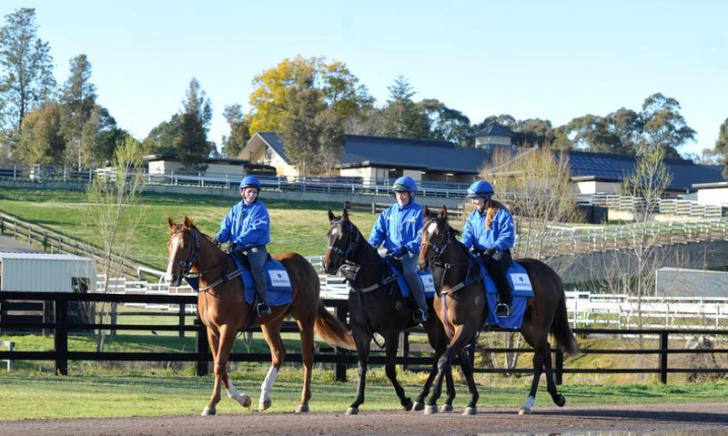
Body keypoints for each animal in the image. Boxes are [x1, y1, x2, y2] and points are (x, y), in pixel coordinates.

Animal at [166, 217, 358, 416]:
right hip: (271, 323)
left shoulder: (229, 328)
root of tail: (307, 266)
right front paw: (243, 399)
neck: (219, 279)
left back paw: (303, 402)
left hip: (305, 318)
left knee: (307, 356)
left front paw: (212, 404)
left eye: (185, 245)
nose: (171, 278)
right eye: (169, 245)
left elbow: (219, 364)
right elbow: (221, 364)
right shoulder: (212, 330)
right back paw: (264, 398)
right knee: (279, 353)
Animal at [324, 211, 456, 416]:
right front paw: (356, 402)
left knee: (438, 359)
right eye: (328, 234)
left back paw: (423, 398)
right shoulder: (361, 332)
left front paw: (405, 400)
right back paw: (447, 399)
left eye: (343, 236)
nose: (328, 264)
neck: (372, 283)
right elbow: (362, 366)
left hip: (435, 327)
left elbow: (389, 369)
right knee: (443, 354)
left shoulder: (391, 332)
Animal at [418, 208, 576, 416]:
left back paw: (528, 403)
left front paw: (432, 399)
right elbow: (464, 363)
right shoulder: (451, 329)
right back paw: (556, 396)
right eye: (423, 231)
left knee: (538, 359)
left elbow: (444, 359)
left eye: (439, 234)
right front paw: (471, 401)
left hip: (540, 325)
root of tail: (554, 276)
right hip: (528, 328)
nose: (421, 263)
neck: (459, 280)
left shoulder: (466, 328)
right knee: (547, 352)